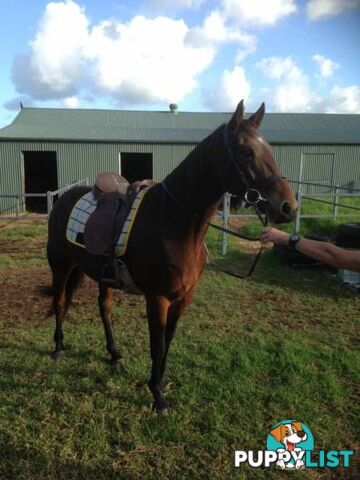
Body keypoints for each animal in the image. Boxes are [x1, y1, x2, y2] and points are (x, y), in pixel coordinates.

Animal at [46, 99, 296, 410]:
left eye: (270, 148)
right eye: (246, 151)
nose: (288, 207)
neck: (171, 220)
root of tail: (63, 198)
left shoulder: (184, 297)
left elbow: (169, 340)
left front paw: (161, 382)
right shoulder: (157, 298)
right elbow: (157, 344)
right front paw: (158, 397)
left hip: (102, 276)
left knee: (104, 308)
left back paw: (114, 354)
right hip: (60, 265)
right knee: (59, 302)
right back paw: (58, 348)